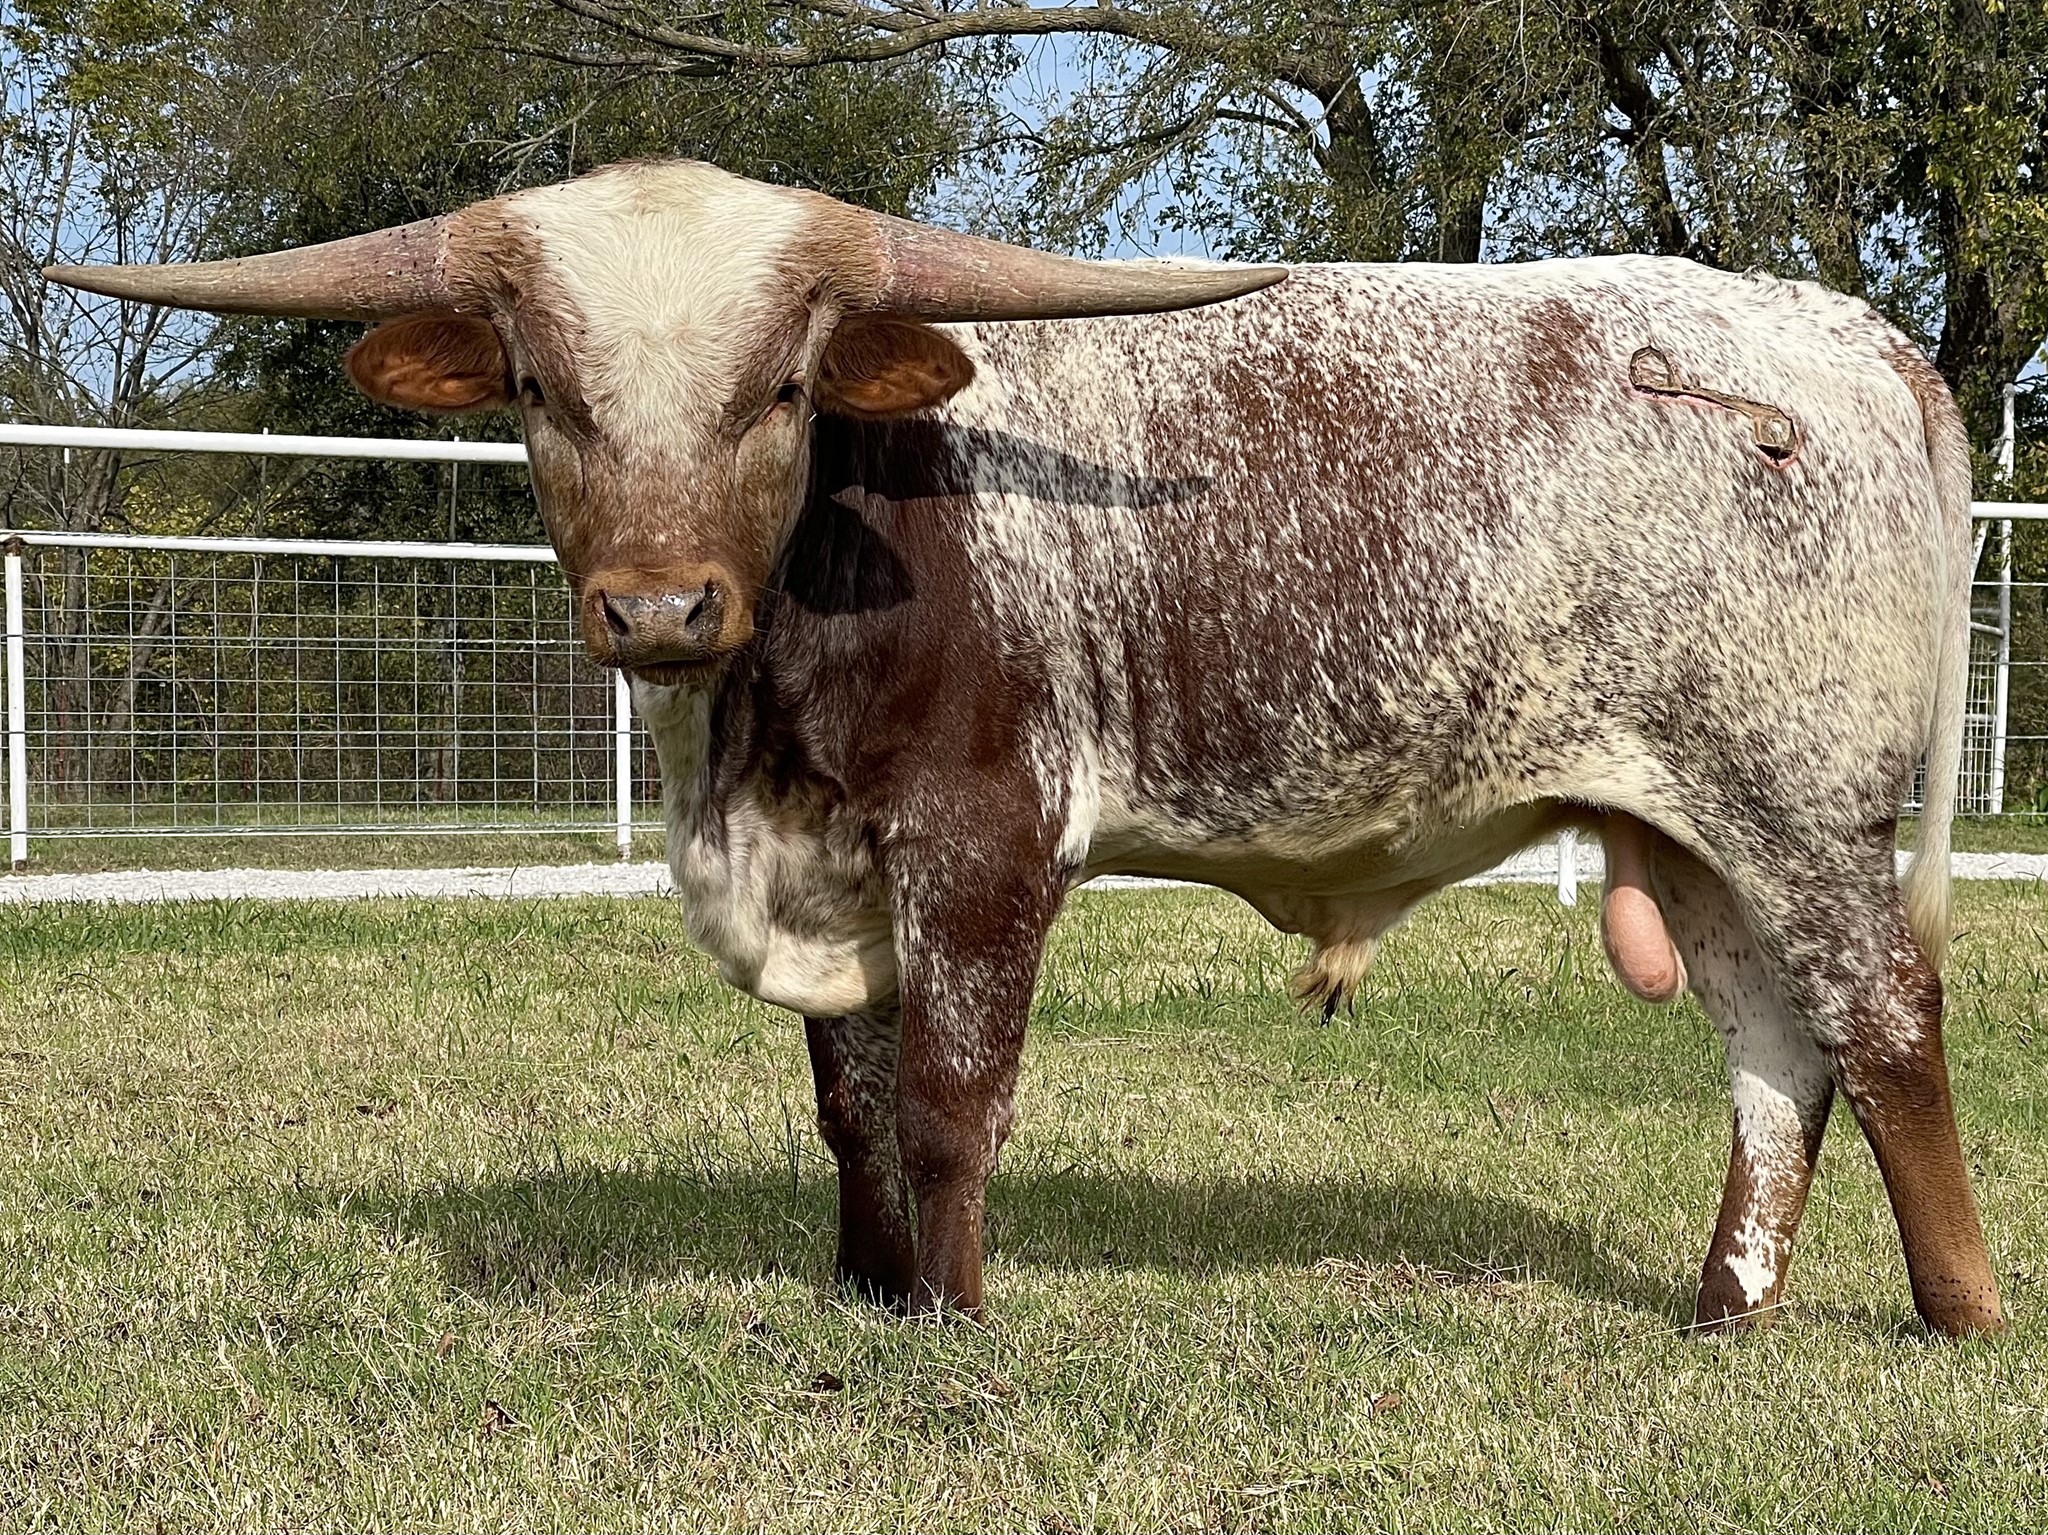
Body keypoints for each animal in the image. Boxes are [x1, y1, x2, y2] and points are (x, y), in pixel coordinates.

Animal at [46, 158, 2002, 1337]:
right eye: (540, 388)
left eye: (782, 385)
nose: (661, 609)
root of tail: (1844, 333)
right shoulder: (838, 864)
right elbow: (847, 1102)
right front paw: (863, 1287)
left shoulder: (982, 841)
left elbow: (947, 1097)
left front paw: (952, 1315)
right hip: (1687, 822)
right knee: (1774, 1053)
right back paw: (1724, 1302)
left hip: (1798, 805)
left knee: (1885, 1030)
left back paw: (1957, 1307)